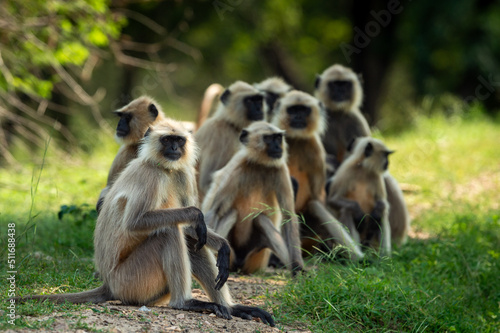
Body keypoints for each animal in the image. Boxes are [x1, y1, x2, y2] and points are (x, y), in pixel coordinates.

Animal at [15, 119, 274, 324]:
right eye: (167, 139)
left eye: (179, 140)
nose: (174, 148)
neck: (165, 169)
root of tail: (109, 284)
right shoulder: (151, 175)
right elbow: (138, 222)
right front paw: (196, 215)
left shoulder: (182, 173)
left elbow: (194, 231)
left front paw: (222, 246)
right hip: (130, 281)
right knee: (169, 232)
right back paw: (184, 303)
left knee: (192, 241)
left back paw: (231, 307)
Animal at [201, 120, 302, 274]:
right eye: (268, 138)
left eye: (278, 138)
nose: (278, 147)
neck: (260, 165)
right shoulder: (237, 169)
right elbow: (215, 211)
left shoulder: (281, 169)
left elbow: (289, 216)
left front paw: (298, 267)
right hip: (233, 254)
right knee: (232, 213)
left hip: (257, 257)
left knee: (261, 218)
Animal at [274, 90, 364, 260]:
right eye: (293, 110)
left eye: (304, 110)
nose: (298, 117)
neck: (296, 139)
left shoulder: (315, 149)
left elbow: (317, 194)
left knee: (315, 205)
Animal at [316, 63, 410, 245]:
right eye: (334, 85)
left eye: (345, 84)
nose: (340, 92)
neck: (337, 113)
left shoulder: (356, 120)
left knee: (385, 179)